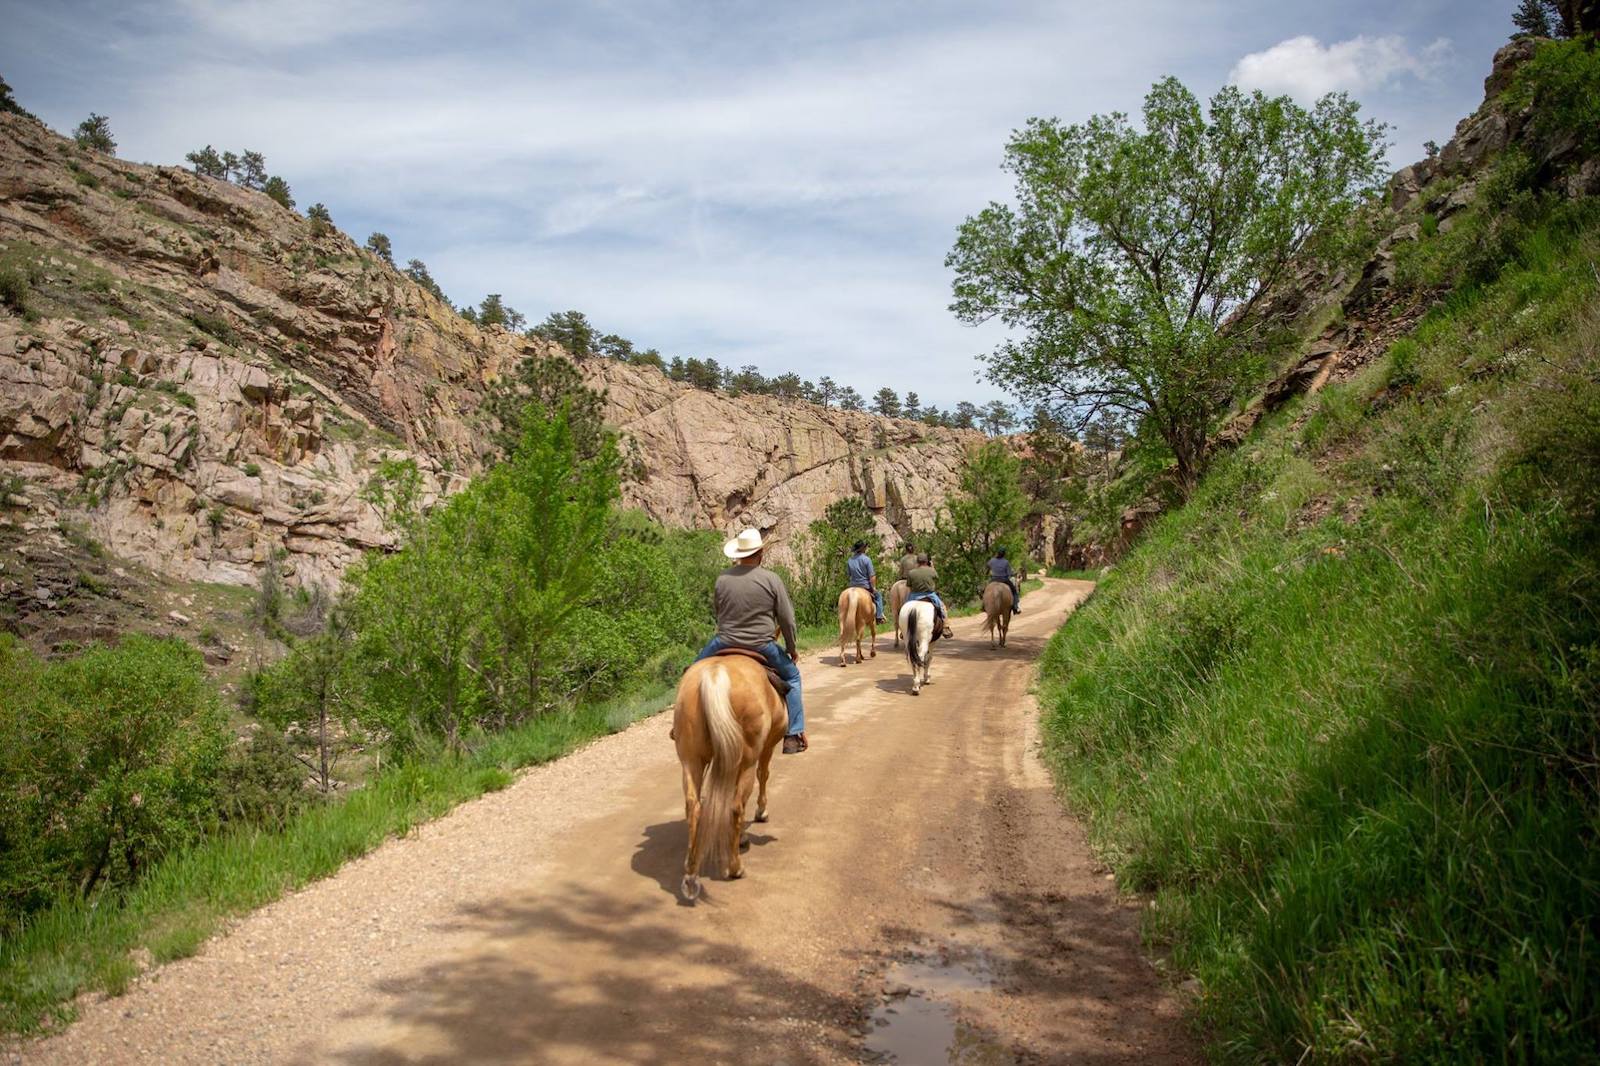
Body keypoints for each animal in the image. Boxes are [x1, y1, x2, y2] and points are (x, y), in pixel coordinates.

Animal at [668, 646, 780, 896]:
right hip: (746, 759)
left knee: (693, 806)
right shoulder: (767, 747)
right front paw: (761, 814)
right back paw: (735, 867)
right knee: (736, 806)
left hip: (691, 759)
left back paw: (691, 872)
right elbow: (764, 775)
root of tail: (715, 675)